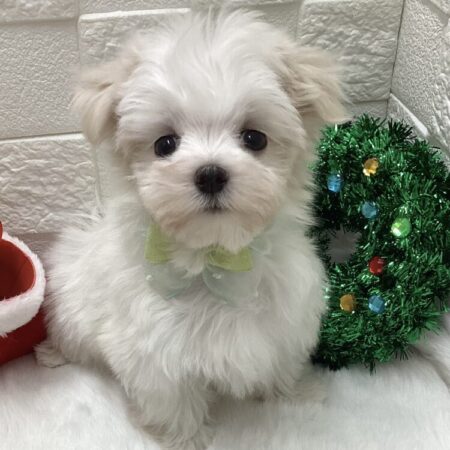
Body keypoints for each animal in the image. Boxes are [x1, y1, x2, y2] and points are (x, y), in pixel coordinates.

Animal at [36, 9, 346, 450]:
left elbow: (283, 362)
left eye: (255, 138)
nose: (211, 173)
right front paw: (188, 439)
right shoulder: (151, 349)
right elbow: (172, 399)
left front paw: (297, 395)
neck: (216, 260)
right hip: (72, 303)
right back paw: (53, 353)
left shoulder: (286, 318)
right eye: (165, 144)